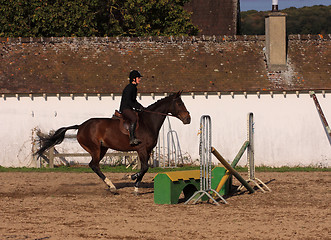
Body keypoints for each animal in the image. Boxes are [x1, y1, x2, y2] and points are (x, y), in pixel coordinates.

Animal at [35, 91, 191, 194]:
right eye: (179, 103)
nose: (188, 119)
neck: (148, 122)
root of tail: (81, 126)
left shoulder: (148, 150)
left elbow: (145, 168)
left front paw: (134, 180)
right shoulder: (141, 149)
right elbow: (145, 167)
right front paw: (134, 181)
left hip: (102, 149)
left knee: (94, 165)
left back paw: (111, 185)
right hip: (95, 149)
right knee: (94, 165)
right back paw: (112, 187)